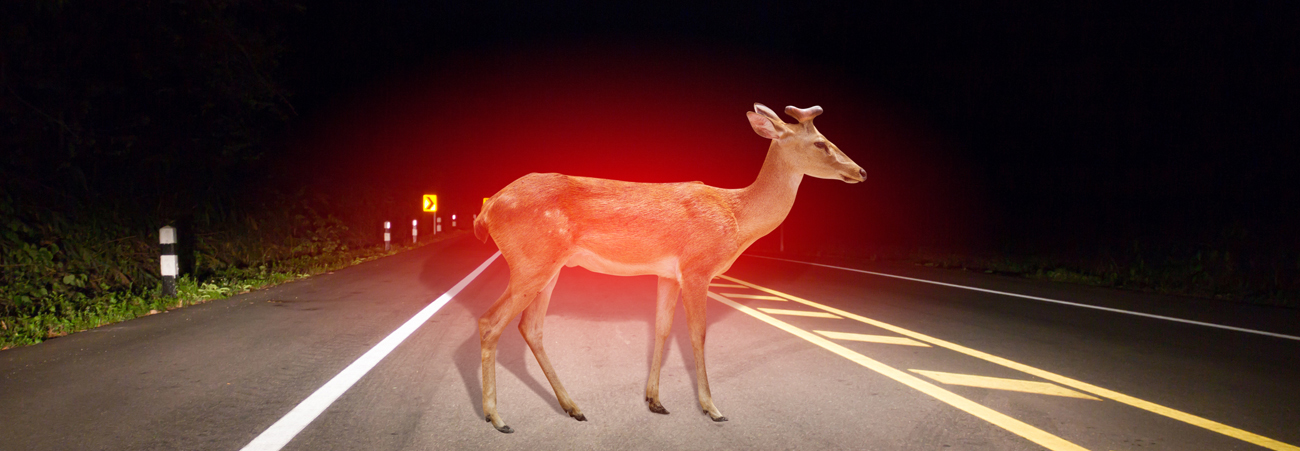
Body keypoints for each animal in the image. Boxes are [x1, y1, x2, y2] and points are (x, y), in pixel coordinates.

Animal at [473, 103, 868, 434]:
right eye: (820, 142)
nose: (860, 171)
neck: (735, 217)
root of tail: (487, 208)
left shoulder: (668, 274)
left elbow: (662, 329)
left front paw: (655, 401)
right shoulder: (697, 268)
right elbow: (697, 333)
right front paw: (712, 408)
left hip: (548, 267)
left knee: (530, 327)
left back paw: (573, 408)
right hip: (530, 262)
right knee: (490, 321)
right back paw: (497, 418)